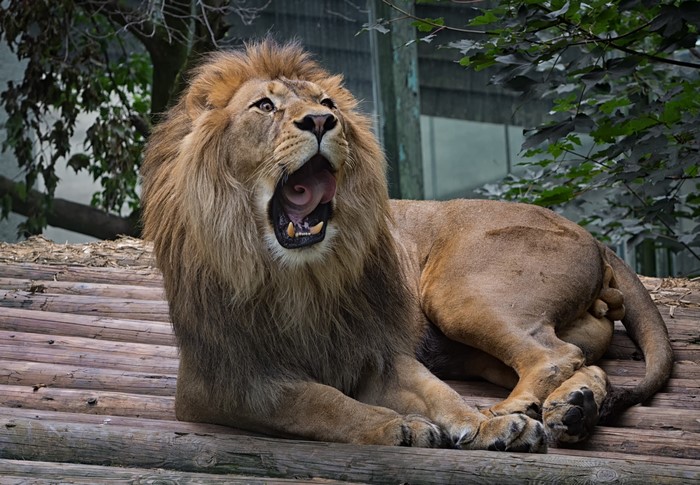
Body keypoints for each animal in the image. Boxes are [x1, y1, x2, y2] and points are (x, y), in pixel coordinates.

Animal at [140, 40, 673, 452]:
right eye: (265, 107)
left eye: (328, 103)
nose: (320, 121)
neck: (301, 276)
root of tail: (593, 238)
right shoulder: (225, 380)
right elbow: (317, 400)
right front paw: (400, 426)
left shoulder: (377, 353)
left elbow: (438, 396)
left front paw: (489, 426)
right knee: (583, 361)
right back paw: (573, 408)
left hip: (457, 295)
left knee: (555, 354)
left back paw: (526, 408)